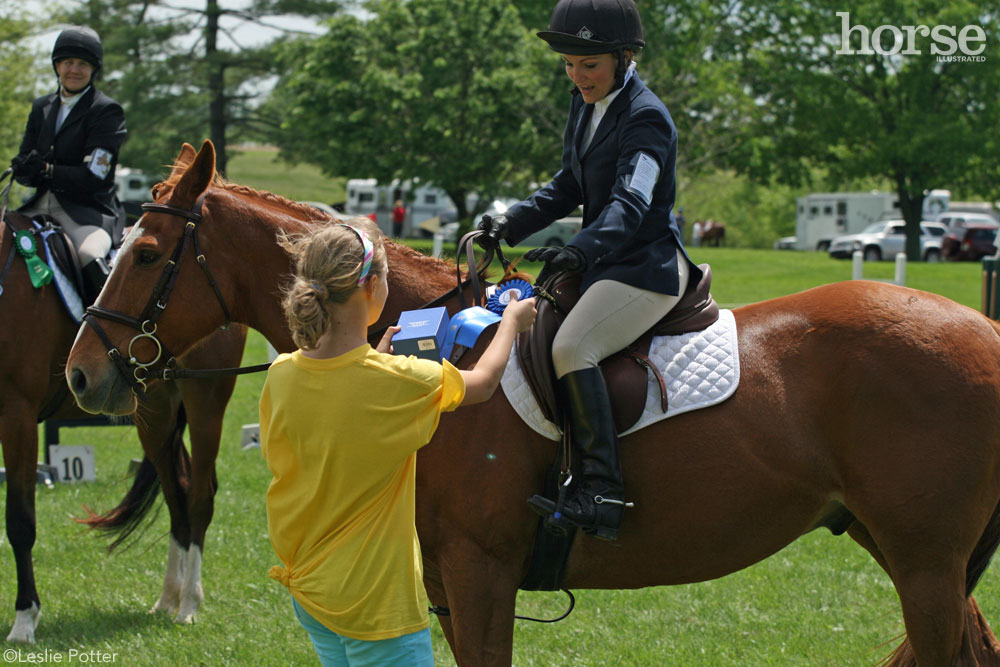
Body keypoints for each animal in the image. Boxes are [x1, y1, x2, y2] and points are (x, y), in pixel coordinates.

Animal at [0, 187, 247, 640]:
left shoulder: (17, 415)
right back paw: (168, 598)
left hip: (204, 403)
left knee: (200, 493)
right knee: (177, 489)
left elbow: (20, 521)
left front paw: (25, 619)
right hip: (154, 415)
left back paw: (189, 602)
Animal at [62, 140, 1000, 664]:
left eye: (146, 253)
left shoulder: (482, 569)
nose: (81, 375)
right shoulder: (448, 574)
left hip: (922, 560)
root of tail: (984, 330)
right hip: (900, 547)